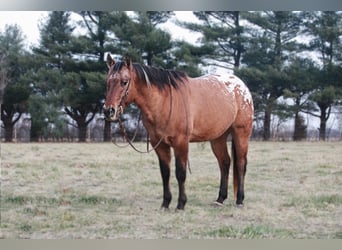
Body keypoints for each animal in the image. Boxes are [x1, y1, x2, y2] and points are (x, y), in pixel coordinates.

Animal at [104, 55, 254, 211]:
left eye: (124, 82)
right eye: (108, 81)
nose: (109, 111)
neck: (163, 102)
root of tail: (241, 86)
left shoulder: (181, 143)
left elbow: (180, 173)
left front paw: (181, 204)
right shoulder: (159, 144)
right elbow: (165, 173)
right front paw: (165, 203)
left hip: (241, 133)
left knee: (241, 164)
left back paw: (240, 200)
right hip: (218, 137)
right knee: (224, 162)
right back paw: (220, 199)